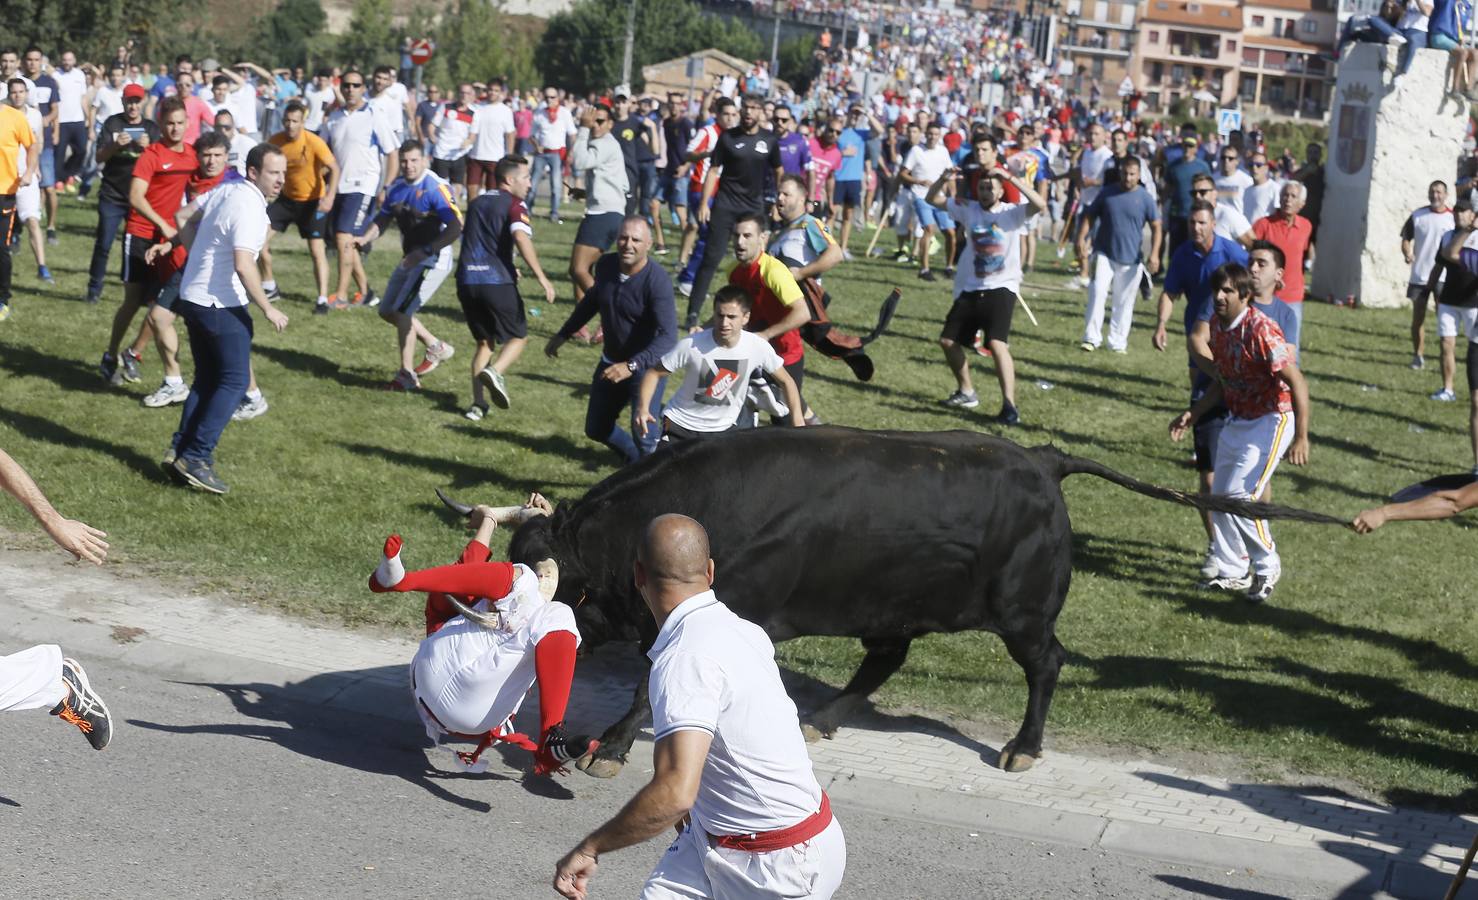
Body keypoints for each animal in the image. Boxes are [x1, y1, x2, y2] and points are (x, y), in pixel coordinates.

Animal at [449, 425, 1342, 774]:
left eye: (548, 585)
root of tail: (1043, 459)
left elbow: (648, 686)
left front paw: (608, 745)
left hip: (1023, 612)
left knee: (1047, 663)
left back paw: (1023, 746)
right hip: (898, 602)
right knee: (886, 657)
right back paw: (824, 716)